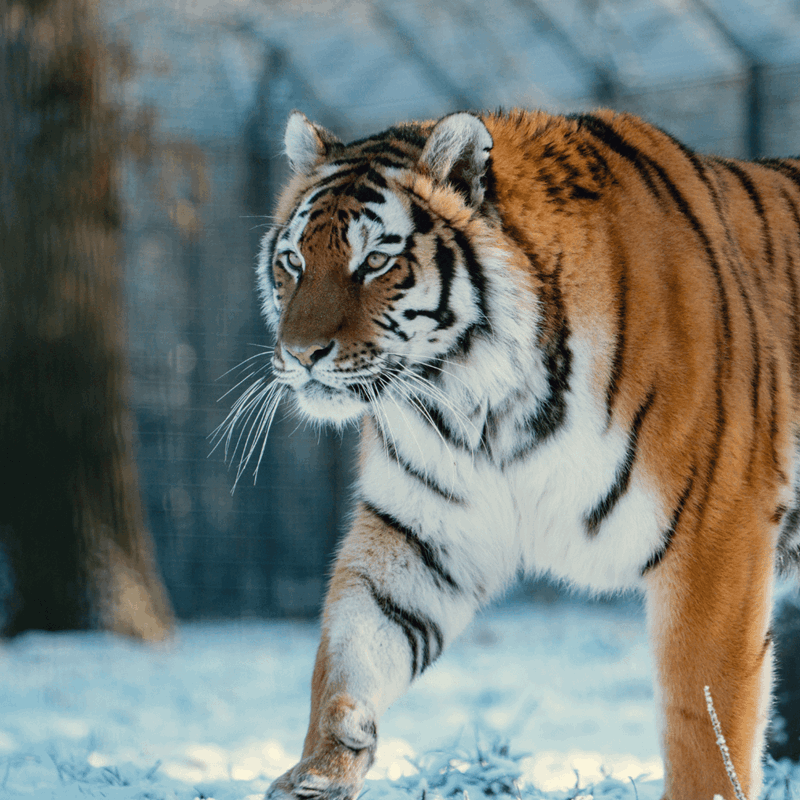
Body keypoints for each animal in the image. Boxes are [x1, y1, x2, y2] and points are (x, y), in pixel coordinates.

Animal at [248, 107, 800, 800]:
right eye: (293, 260)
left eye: (375, 261)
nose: (299, 355)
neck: (478, 402)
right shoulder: (420, 531)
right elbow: (350, 644)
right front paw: (323, 766)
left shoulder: (716, 535)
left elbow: (705, 716)